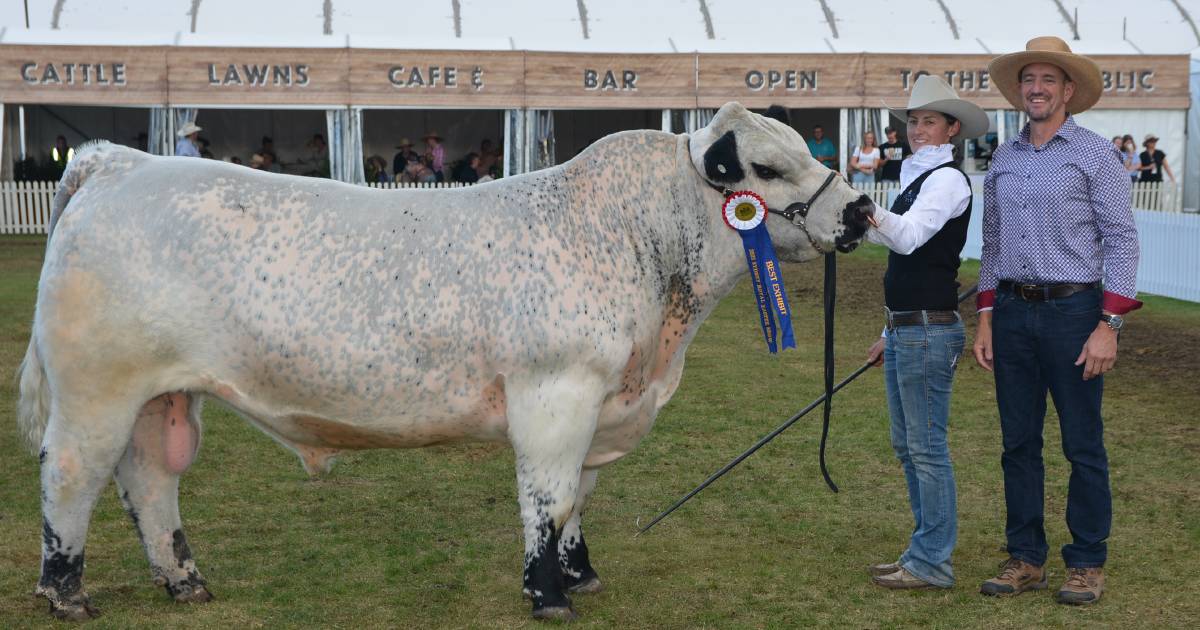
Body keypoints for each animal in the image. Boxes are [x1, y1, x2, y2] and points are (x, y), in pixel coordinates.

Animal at [16, 103, 873, 619]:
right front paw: (547, 593)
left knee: (149, 483)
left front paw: (580, 572)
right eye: (766, 169)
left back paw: (185, 581)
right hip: (96, 389)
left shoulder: (602, 407)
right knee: (71, 478)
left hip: (161, 394)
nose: (862, 208)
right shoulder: (556, 396)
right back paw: (64, 592)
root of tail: (118, 163)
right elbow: (549, 498)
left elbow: (580, 499)